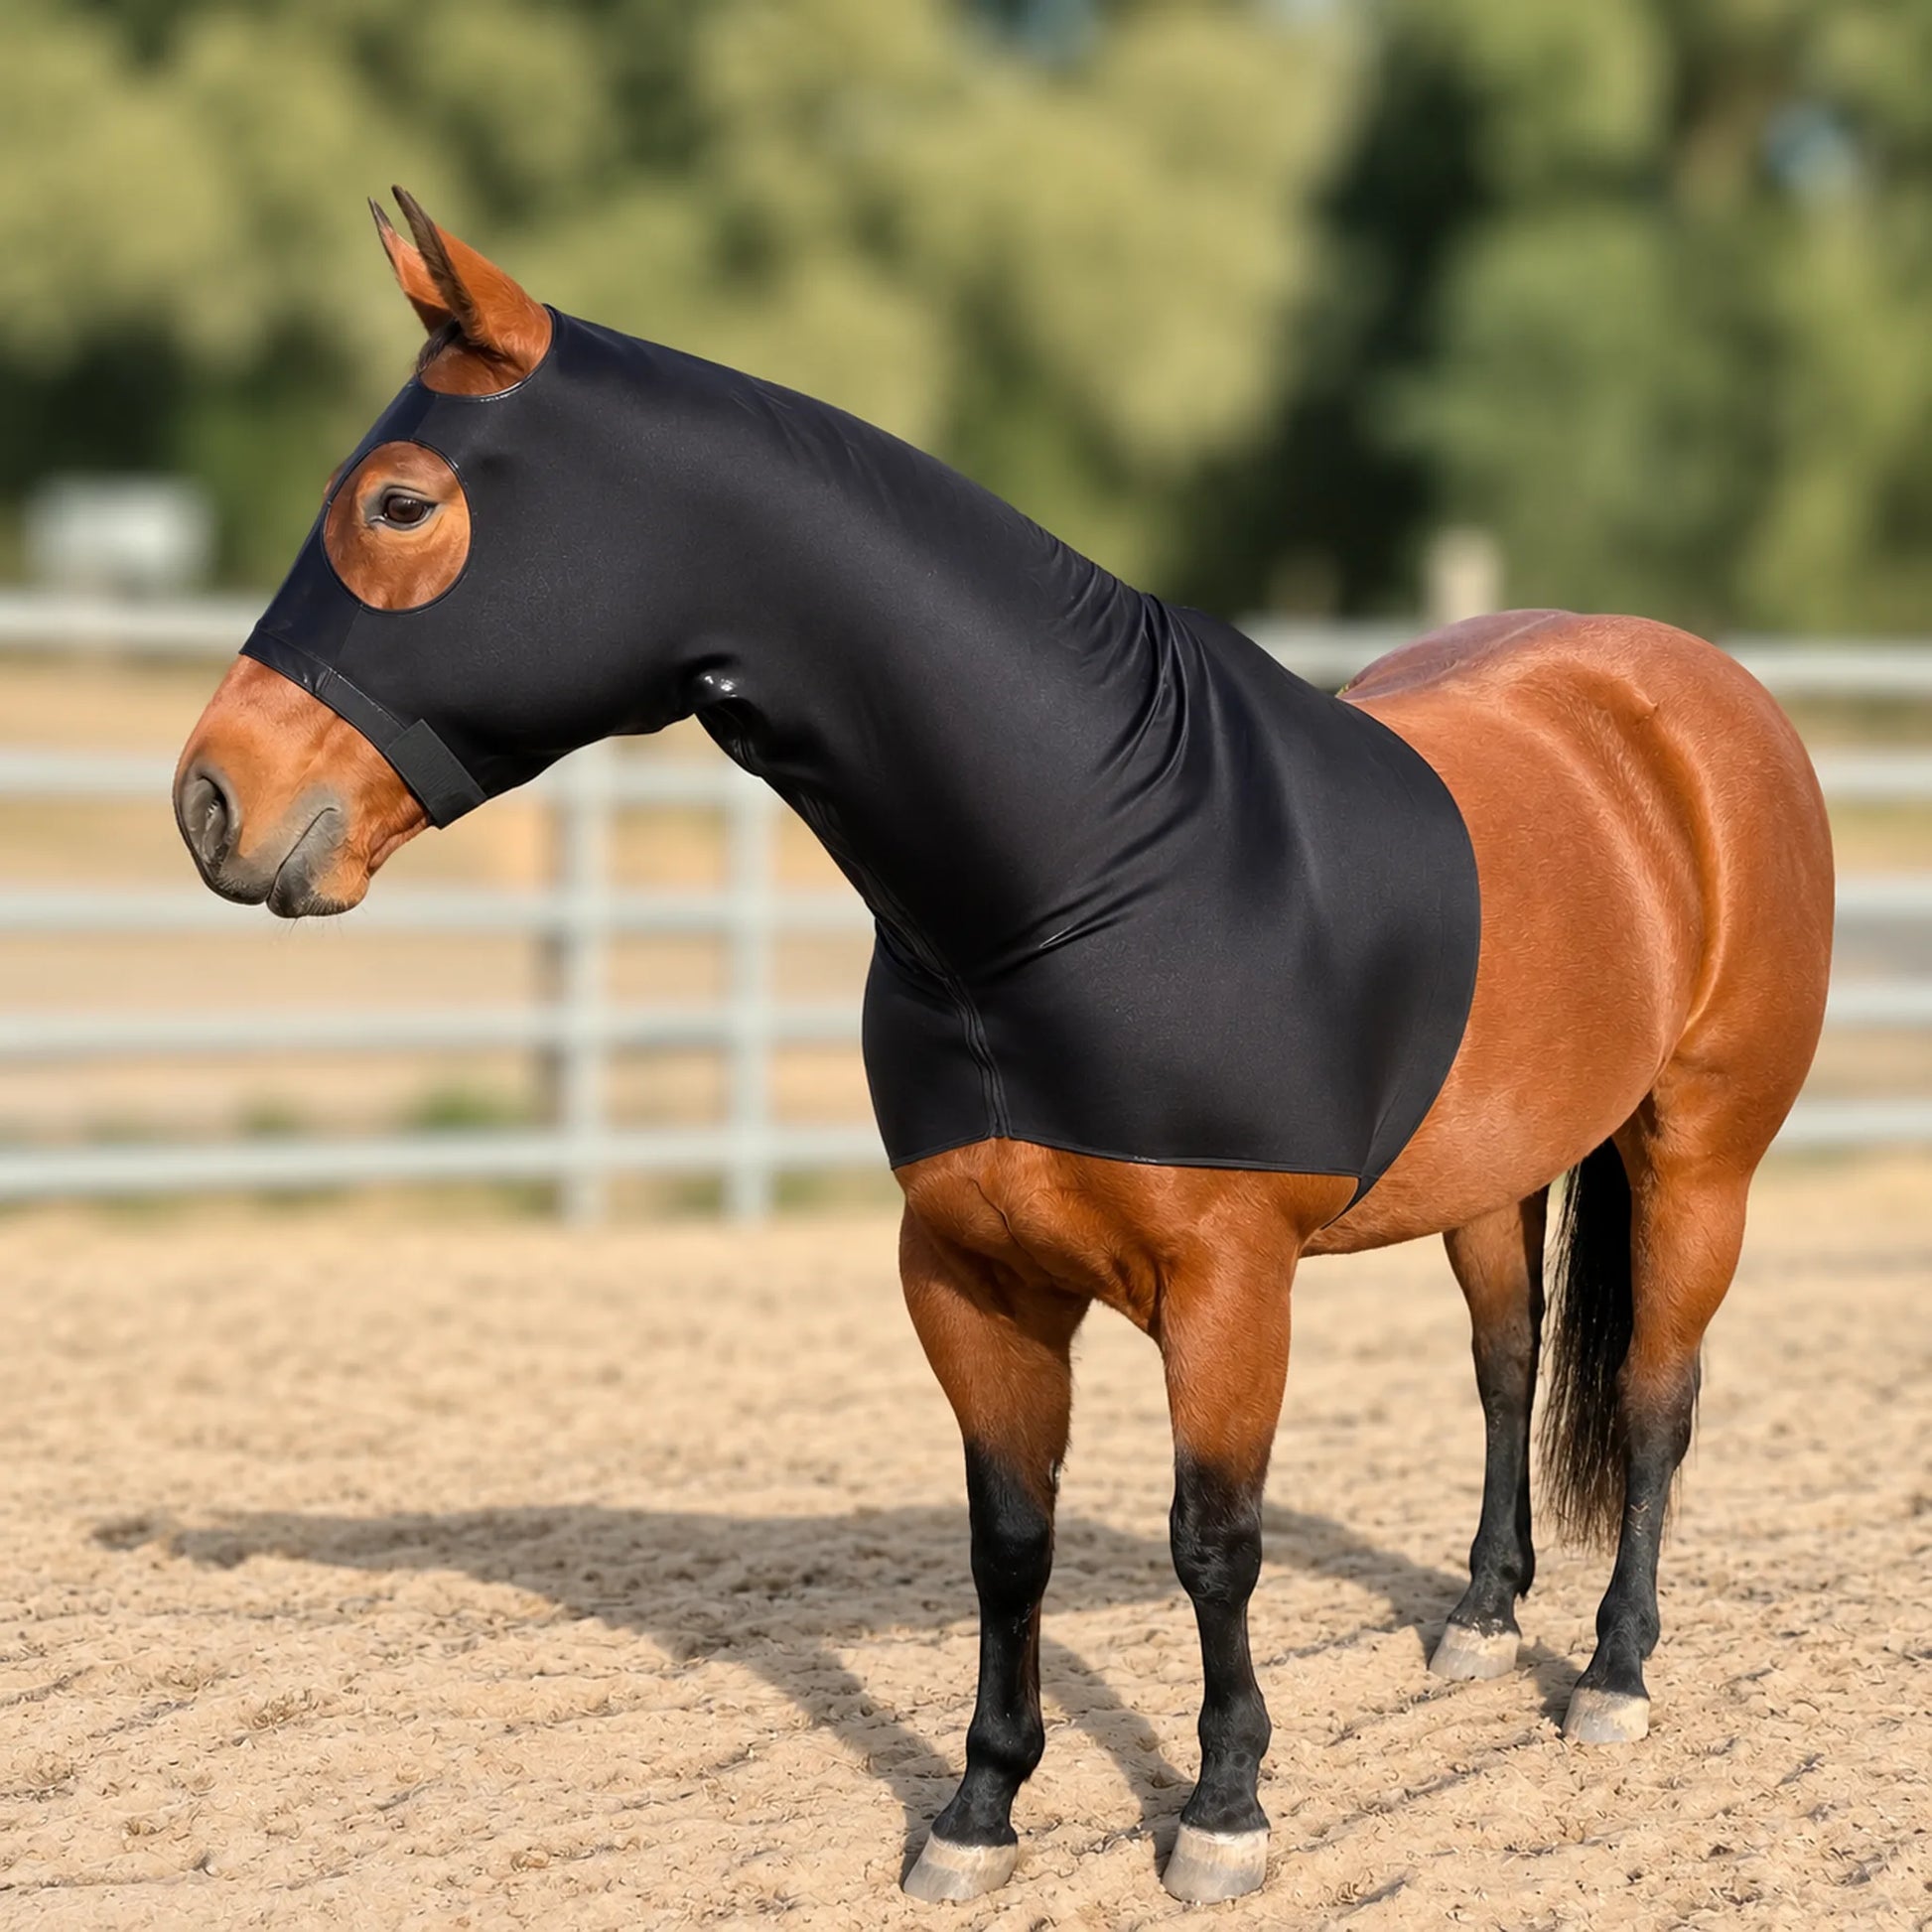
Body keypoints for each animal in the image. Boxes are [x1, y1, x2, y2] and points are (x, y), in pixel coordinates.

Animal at [174, 191, 1834, 1905]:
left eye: (399, 501)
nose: (214, 801)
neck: (1083, 869)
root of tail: (1691, 697)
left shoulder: (1227, 1287)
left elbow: (1210, 1539)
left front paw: (1221, 1810)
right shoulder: (967, 1275)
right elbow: (1008, 1539)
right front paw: (977, 1810)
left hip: (1697, 1155)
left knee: (1651, 1396)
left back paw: (1611, 1671)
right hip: (1497, 1173)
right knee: (1507, 1367)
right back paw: (1480, 1617)